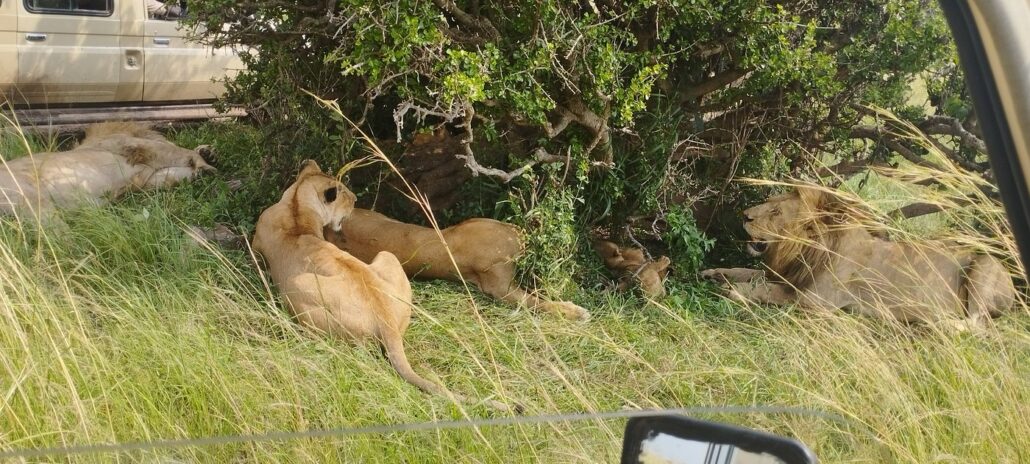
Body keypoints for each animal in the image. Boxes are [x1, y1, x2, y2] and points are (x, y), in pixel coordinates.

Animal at [252, 160, 515, 412]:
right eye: (344, 193)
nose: (356, 200)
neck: (296, 206)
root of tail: (384, 317)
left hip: (297, 287)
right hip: (388, 257)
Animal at [700, 185, 1013, 325]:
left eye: (776, 212)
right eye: (770, 200)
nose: (744, 215)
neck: (808, 248)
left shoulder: (816, 301)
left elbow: (763, 288)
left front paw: (732, 291)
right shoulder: (787, 275)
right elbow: (747, 272)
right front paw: (713, 273)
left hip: (984, 265)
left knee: (975, 325)